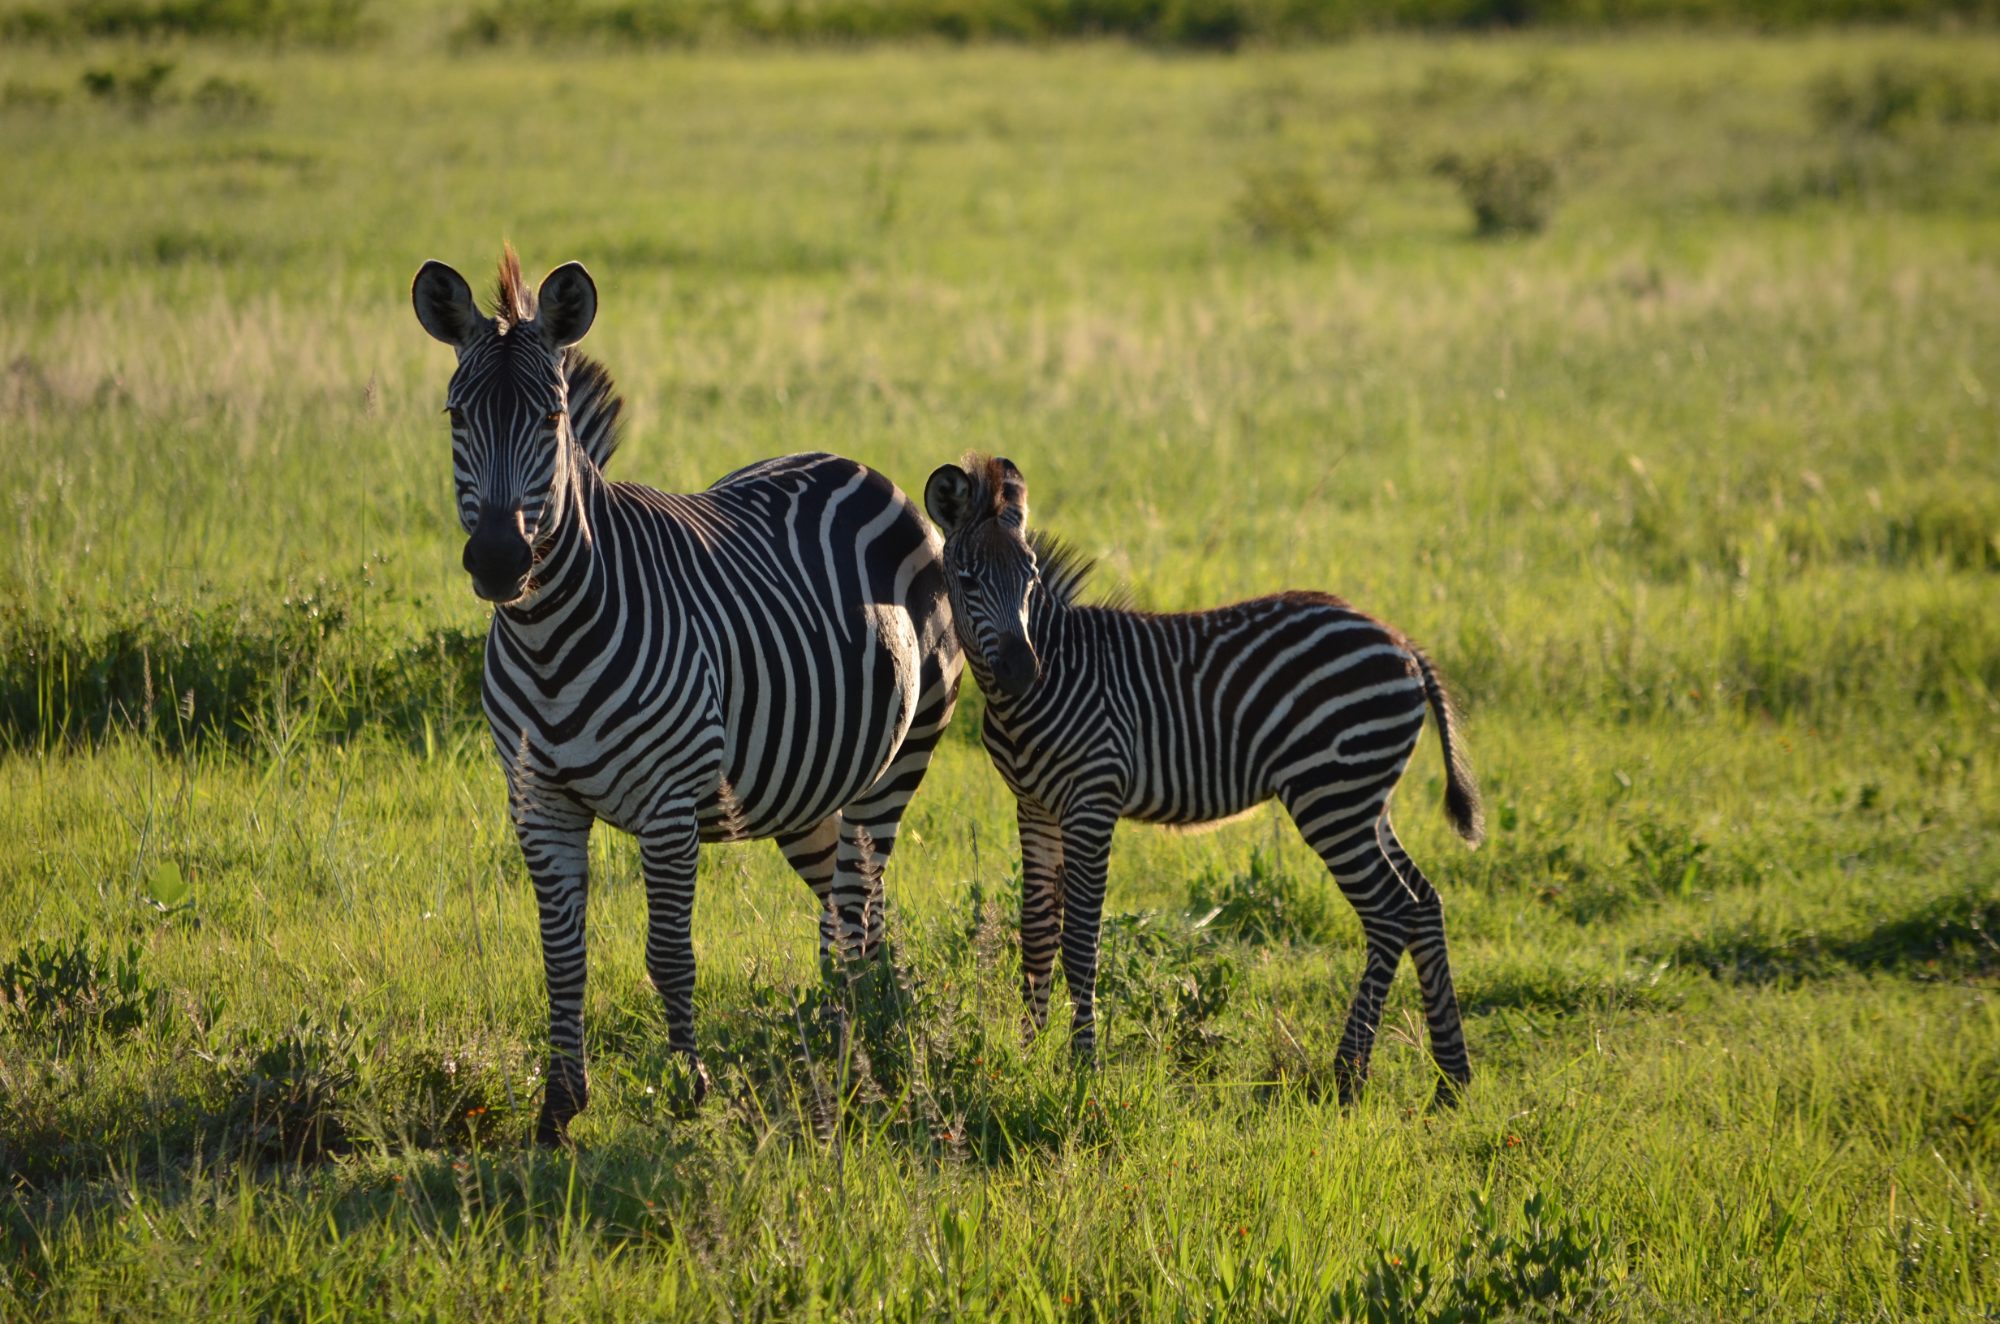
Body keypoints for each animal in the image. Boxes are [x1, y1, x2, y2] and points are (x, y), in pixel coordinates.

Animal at [411, 248, 961, 1144]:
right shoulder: (537, 802)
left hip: (895, 765)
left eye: (552, 417)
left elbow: (668, 955)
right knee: (850, 918)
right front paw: (558, 1107)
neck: (549, 636)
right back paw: (843, 1033)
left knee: (859, 908)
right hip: (808, 795)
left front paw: (688, 1090)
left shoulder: (667, 804)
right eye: (457, 416)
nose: (497, 561)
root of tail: (856, 466)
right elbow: (560, 957)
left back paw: (862, 1047)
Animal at [923, 454, 1484, 1105]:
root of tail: (1401, 643)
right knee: (1423, 903)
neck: (1049, 680)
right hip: (1365, 798)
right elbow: (1036, 936)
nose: (1021, 670)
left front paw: (1081, 1068)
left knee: (1391, 911)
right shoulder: (1034, 806)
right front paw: (1025, 1056)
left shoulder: (1093, 799)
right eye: (967, 579)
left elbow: (1080, 941)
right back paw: (1451, 1080)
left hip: (1331, 796)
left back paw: (1349, 1074)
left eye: (1032, 579)